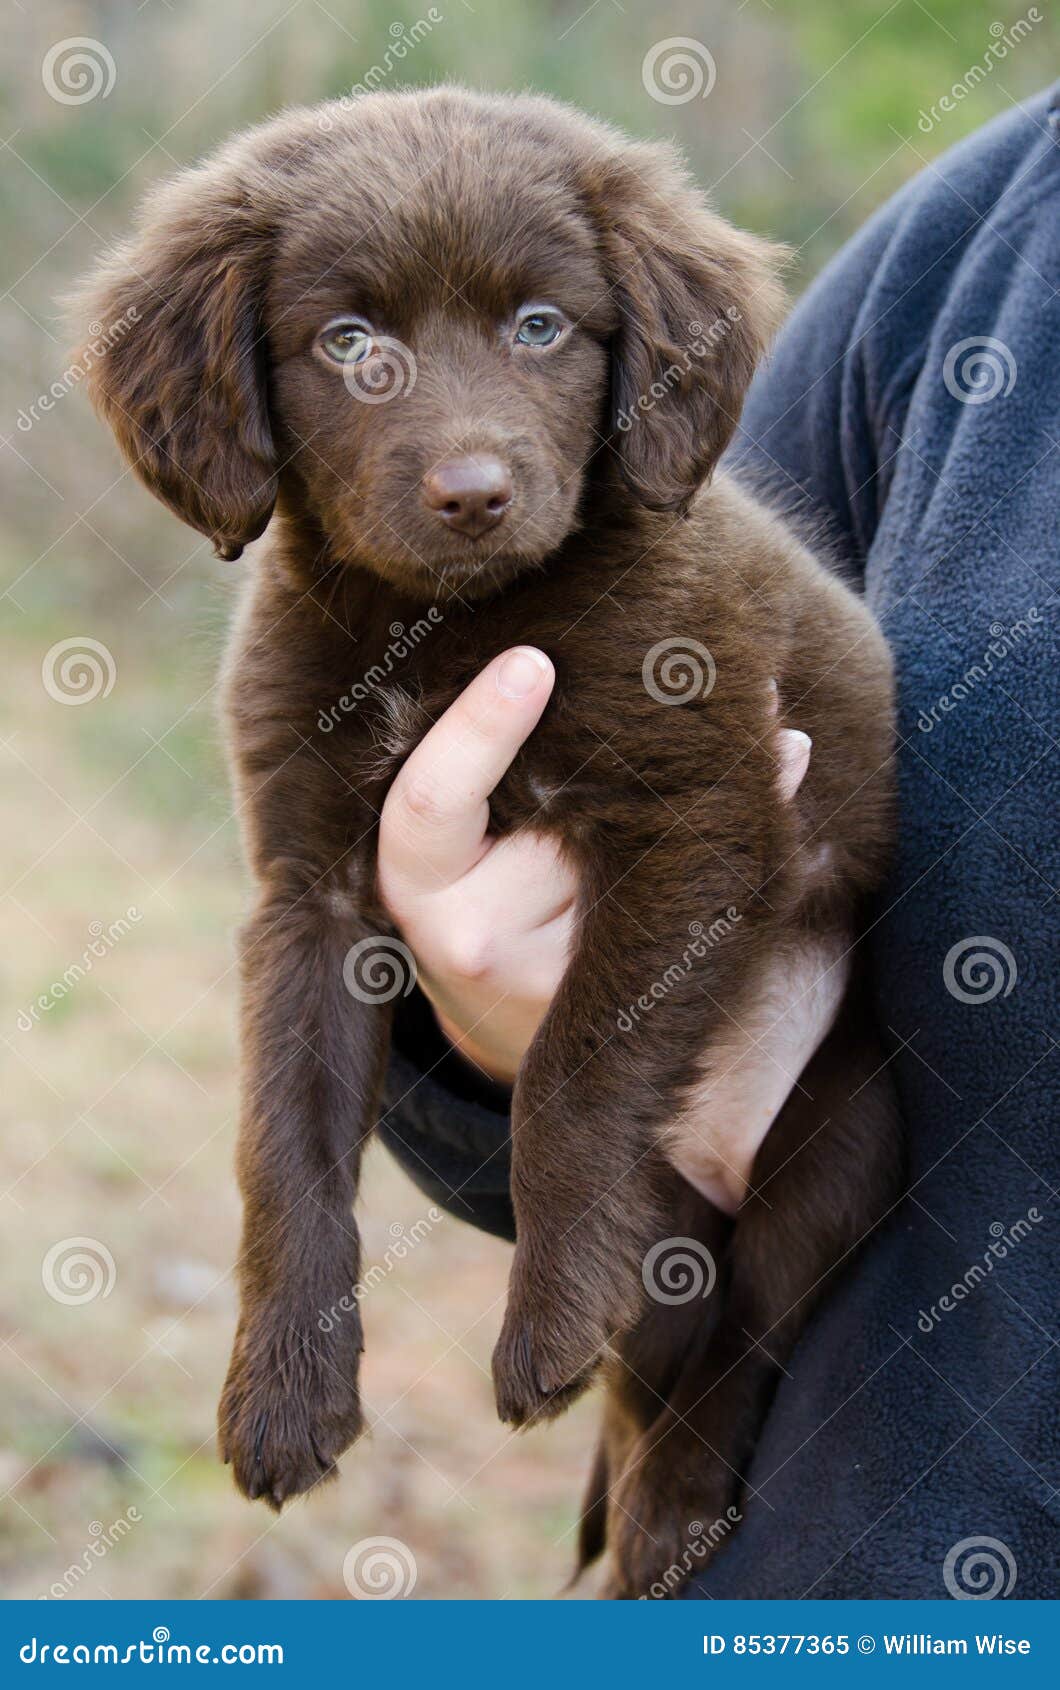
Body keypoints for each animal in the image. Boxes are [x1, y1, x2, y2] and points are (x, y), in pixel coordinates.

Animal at [76, 89, 906, 1595]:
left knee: (745, 1327)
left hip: (847, 1126)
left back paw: (669, 1507)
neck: (442, 624)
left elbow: (571, 1071)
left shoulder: (700, 813)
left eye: (540, 326)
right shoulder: (312, 893)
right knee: (668, 1331)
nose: (471, 491)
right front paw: (281, 1393)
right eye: (349, 343)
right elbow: (282, 1142)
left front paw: (549, 1320)